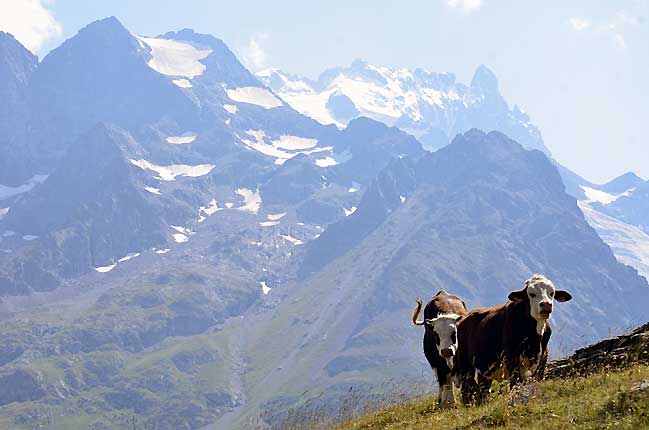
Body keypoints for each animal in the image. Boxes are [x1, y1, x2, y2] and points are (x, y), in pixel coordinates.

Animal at [452, 274, 572, 405]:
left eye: (552, 293)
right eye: (531, 294)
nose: (546, 305)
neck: (534, 340)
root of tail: (463, 319)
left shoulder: (542, 357)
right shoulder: (512, 358)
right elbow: (515, 382)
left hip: (485, 368)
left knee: (482, 390)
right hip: (465, 366)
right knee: (467, 390)